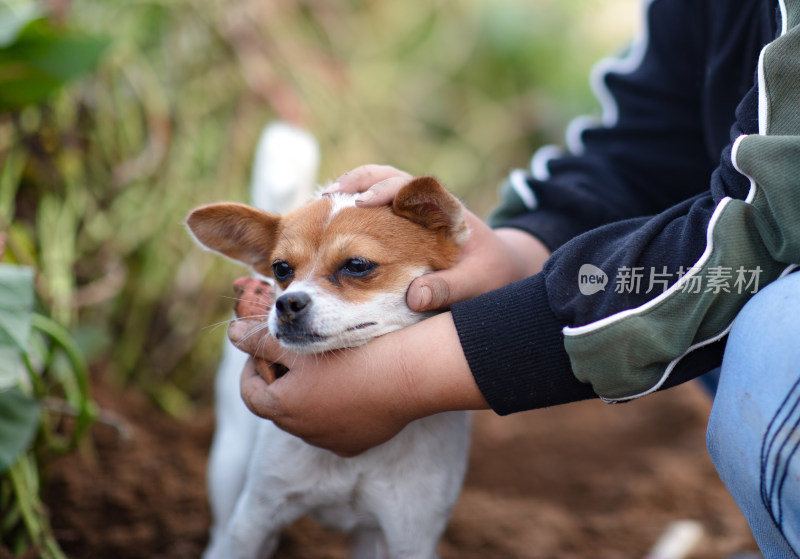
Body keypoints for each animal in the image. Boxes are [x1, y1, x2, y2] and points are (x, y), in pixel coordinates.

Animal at [186, 176, 476, 559]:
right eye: (281, 269)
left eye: (357, 264)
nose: (286, 303)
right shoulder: (255, 519)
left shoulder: (411, 537)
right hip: (229, 462)